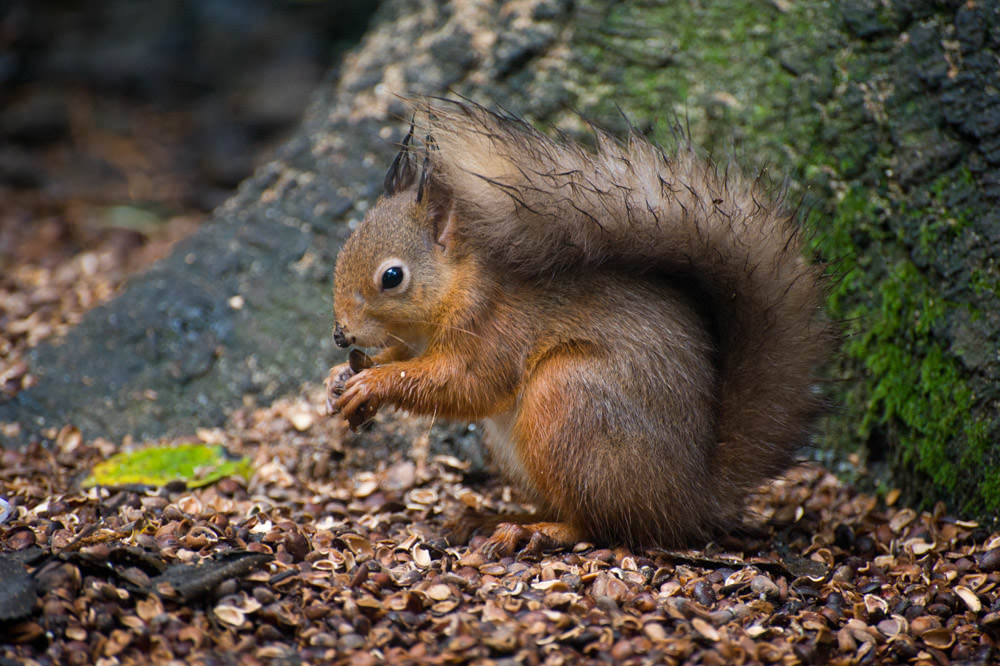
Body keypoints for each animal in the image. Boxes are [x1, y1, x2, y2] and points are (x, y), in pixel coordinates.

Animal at [324, 100, 832, 556]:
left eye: (393, 276)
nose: (341, 335)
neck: (459, 283)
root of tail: (689, 498)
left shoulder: (494, 327)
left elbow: (463, 383)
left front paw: (373, 383)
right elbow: (405, 359)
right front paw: (340, 377)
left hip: (569, 403)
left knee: (601, 525)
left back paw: (536, 532)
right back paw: (493, 517)